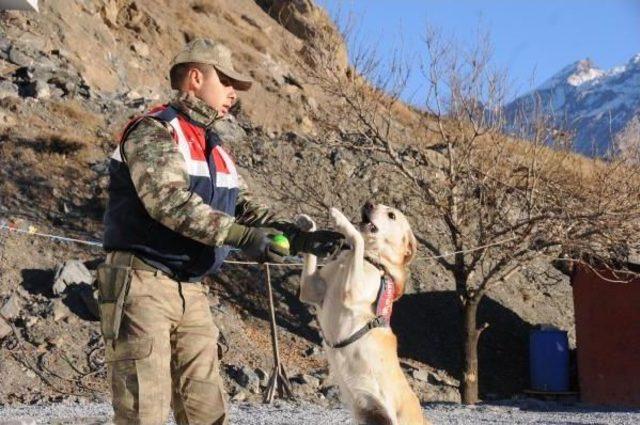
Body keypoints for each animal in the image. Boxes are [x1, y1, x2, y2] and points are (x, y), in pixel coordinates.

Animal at [296, 202, 428, 424]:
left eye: (391, 215)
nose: (368, 203)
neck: (372, 260)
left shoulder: (352, 290)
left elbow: (357, 239)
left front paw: (341, 219)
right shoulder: (310, 290)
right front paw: (310, 227)